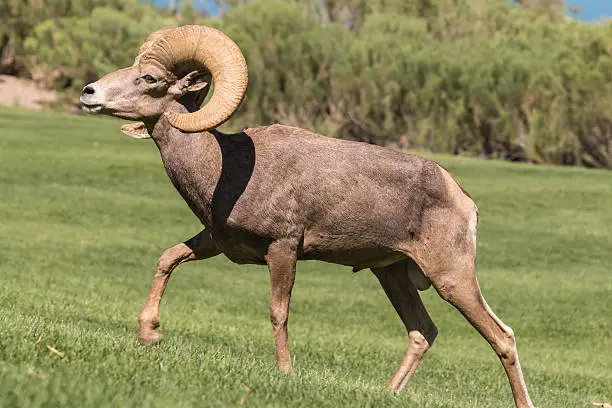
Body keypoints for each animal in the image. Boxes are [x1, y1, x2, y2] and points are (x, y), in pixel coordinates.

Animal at [80, 26, 532, 408]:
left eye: (149, 78)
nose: (88, 92)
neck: (226, 168)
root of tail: (462, 197)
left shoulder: (283, 250)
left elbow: (278, 311)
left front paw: (284, 373)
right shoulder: (213, 243)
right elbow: (167, 260)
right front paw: (148, 334)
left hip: (451, 278)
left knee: (502, 337)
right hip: (392, 275)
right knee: (423, 332)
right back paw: (388, 393)